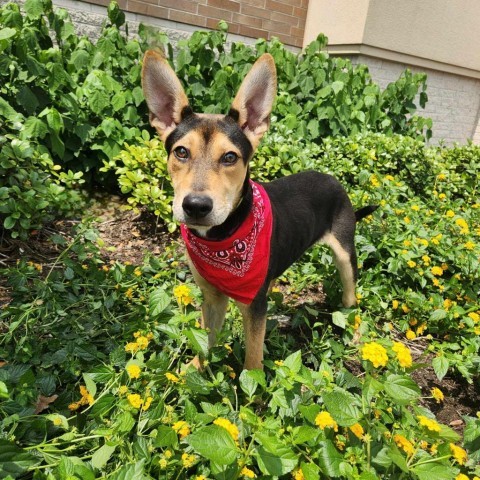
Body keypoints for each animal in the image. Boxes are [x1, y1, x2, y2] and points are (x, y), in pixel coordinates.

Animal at [141, 50, 376, 370]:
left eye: (230, 157)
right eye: (181, 152)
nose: (196, 206)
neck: (223, 238)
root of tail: (331, 178)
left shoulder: (254, 304)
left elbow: (252, 362)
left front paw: (251, 384)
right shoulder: (212, 297)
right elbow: (205, 340)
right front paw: (194, 370)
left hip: (345, 256)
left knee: (353, 301)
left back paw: (356, 338)